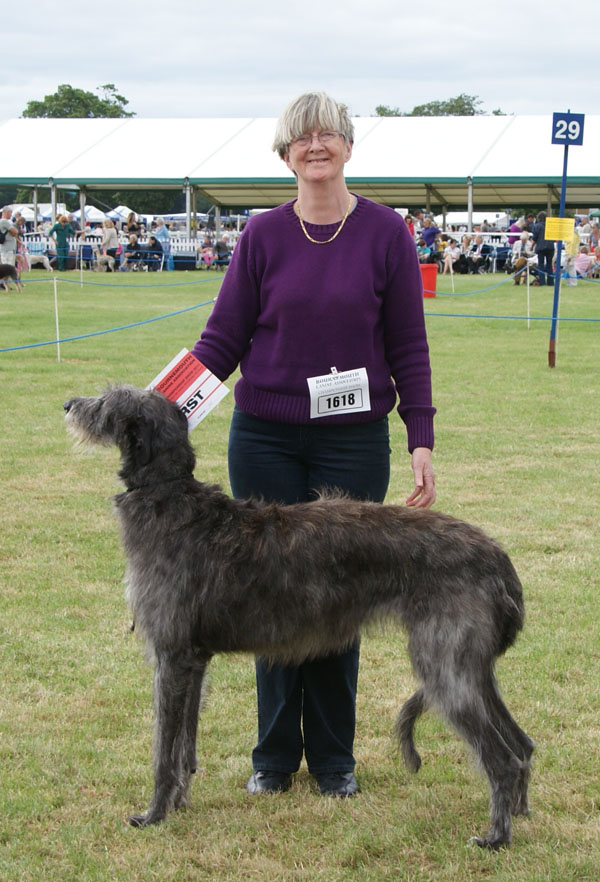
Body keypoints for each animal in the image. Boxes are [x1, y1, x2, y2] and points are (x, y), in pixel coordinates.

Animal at [64, 384, 536, 844]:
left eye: (107, 399)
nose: (69, 404)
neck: (170, 495)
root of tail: (498, 557)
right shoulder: (194, 661)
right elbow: (185, 746)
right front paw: (179, 802)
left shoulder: (172, 656)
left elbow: (164, 750)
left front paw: (154, 814)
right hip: (471, 667)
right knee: (523, 744)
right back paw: (520, 813)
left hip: (444, 665)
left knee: (503, 758)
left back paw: (496, 836)